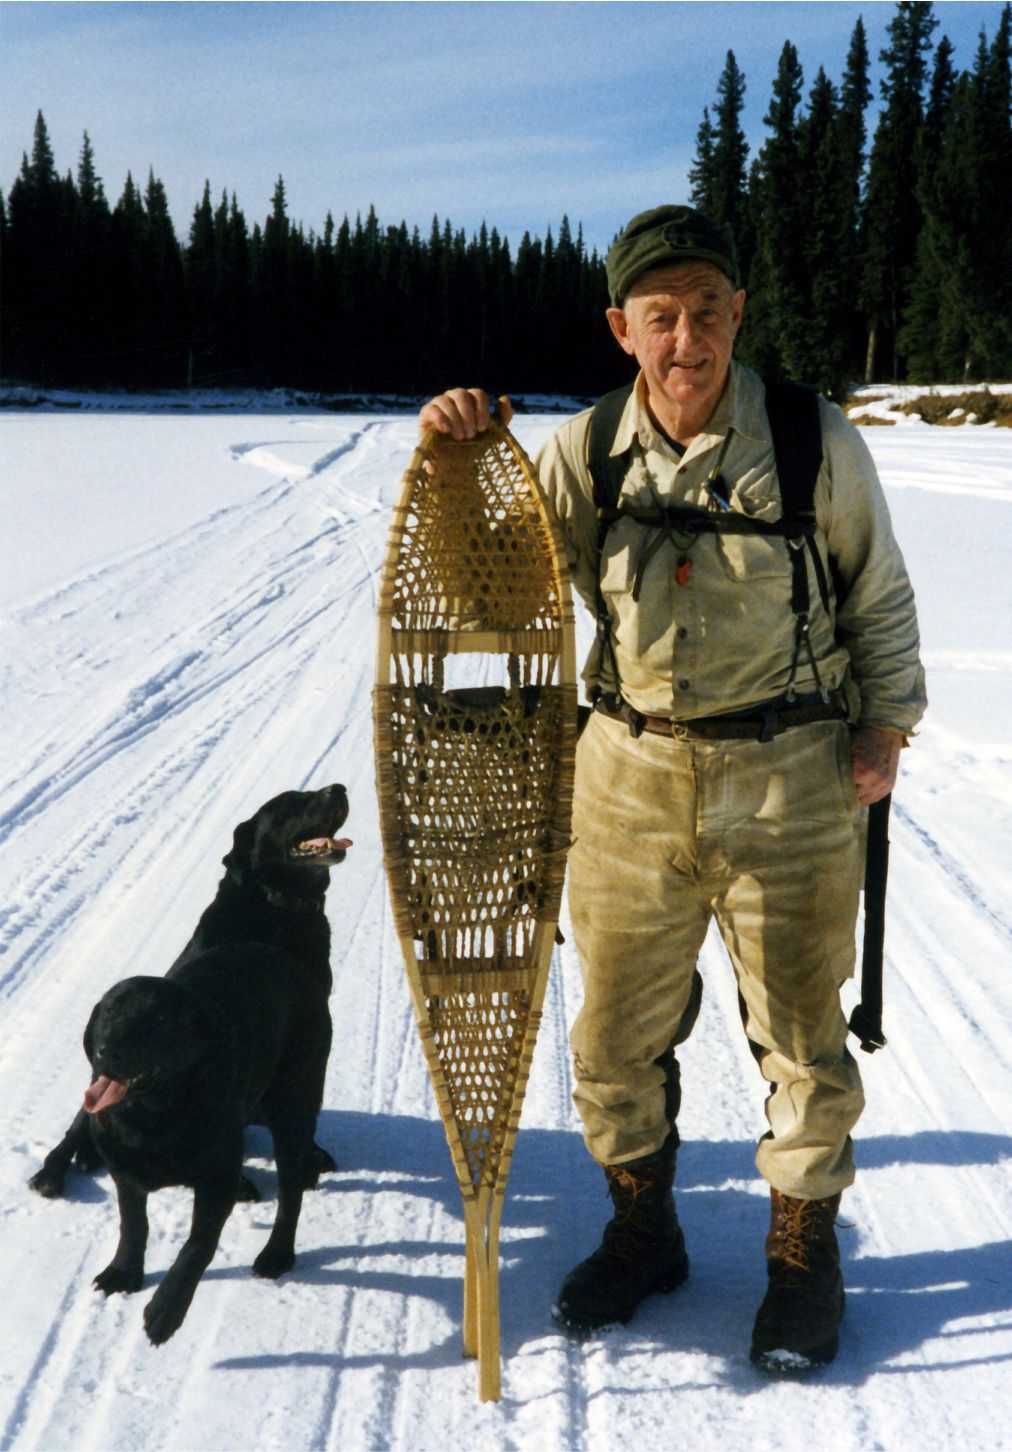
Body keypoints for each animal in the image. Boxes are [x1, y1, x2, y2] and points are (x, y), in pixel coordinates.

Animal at [29, 789, 351, 1341]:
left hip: (293, 1095)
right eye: (293, 802)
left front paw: (165, 1309)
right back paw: (55, 1170)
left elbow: (198, 1243)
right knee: (73, 1133)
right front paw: (126, 1272)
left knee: (289, 1187)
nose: (338, 789)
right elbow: (134, 1222)